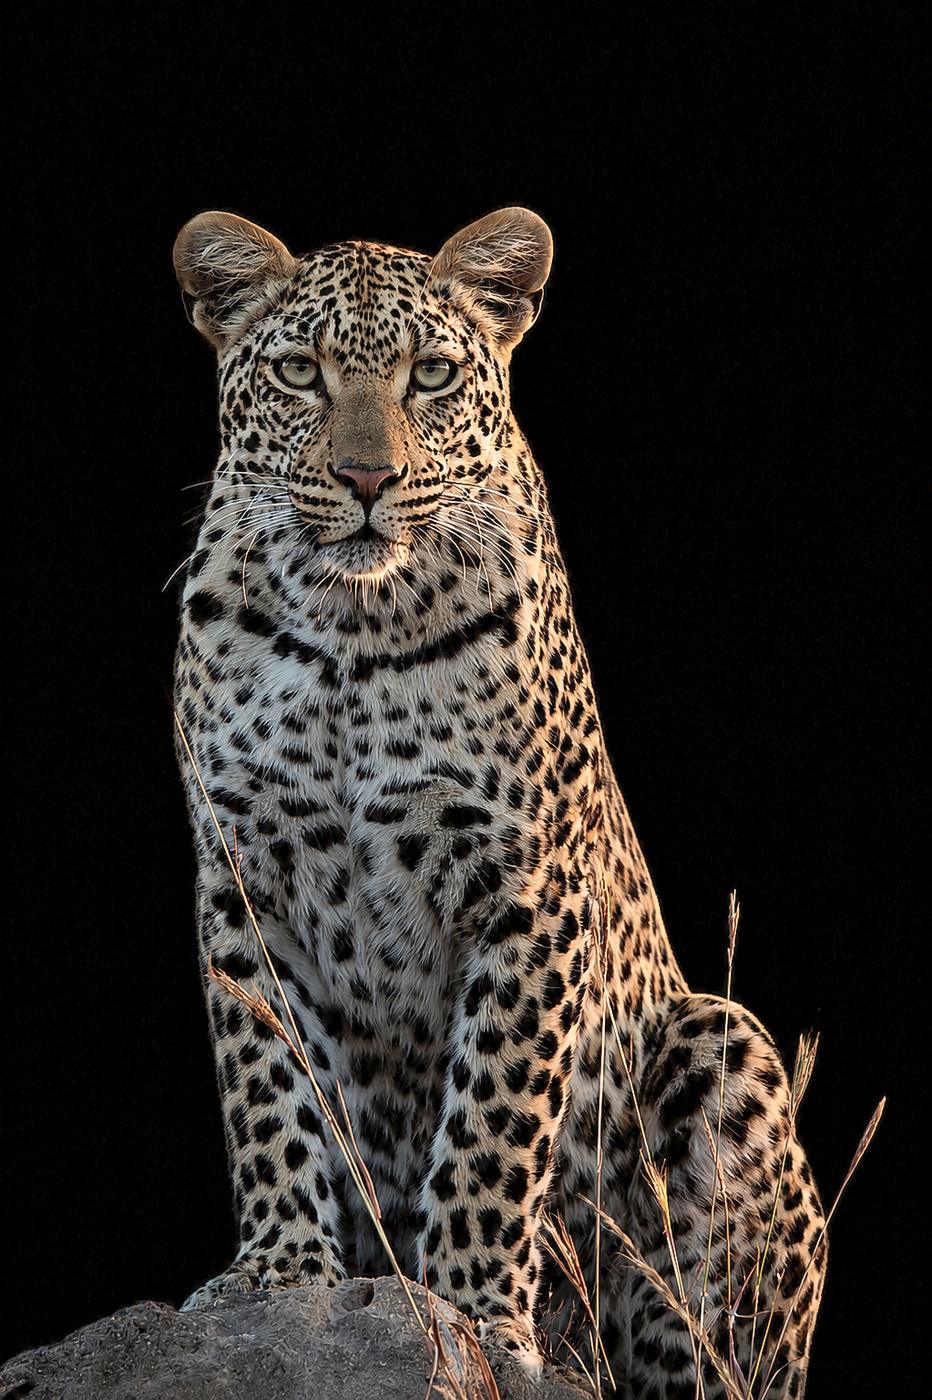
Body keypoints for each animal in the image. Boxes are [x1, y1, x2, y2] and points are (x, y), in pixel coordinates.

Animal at [170, 205, 828, 1397]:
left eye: (430, 375)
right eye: (298, 372)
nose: (366, 478)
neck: (352, 629)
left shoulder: (527, 884)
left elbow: (493, 1115)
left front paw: (474, 1312)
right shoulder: (242, 881)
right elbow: (268, 1088)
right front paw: (279, 1274)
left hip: (723, 1043)